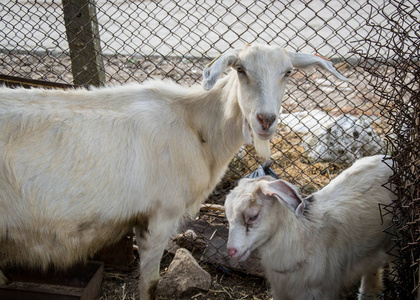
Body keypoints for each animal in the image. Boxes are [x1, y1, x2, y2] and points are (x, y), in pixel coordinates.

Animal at [0, 43, 346, 298]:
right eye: (241, 70)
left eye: (288, 72)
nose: (265, 119)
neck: (194, 124)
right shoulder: (159, 216)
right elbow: (149, 283)